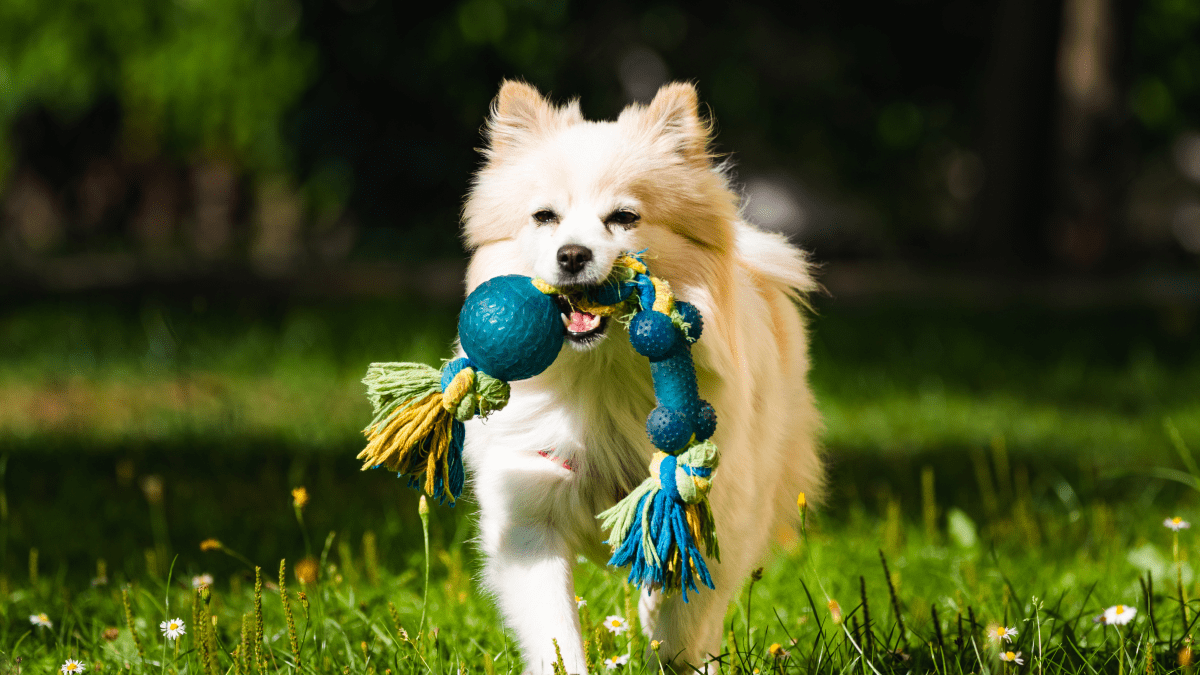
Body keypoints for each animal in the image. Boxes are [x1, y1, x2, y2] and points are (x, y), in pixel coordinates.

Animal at [458, 79, 825, 672]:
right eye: (545, 217)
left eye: (624, 217)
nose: (572, 254)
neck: (601, 375)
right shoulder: (529, 517)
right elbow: (557, 634)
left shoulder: (708, 510)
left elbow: (680, 616)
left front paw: (669, 649)